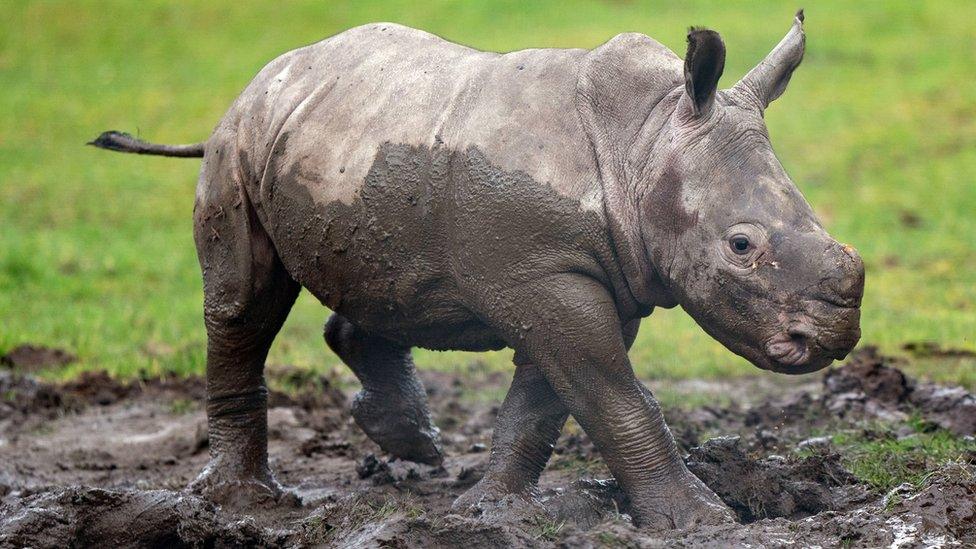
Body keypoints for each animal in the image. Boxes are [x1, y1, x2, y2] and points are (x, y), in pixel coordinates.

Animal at [95, 10, 860, 528]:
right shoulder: (545, 273)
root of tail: (259, 82)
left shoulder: (590, 275)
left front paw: (491, 512)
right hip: (240, 143)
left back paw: (410, 443)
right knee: (242, 305)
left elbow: (551, 395)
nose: (832, 337)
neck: (641, 140)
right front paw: (700, 521)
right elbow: (611, 393)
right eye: (741, 246)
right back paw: (245, 498)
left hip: (351, 134)